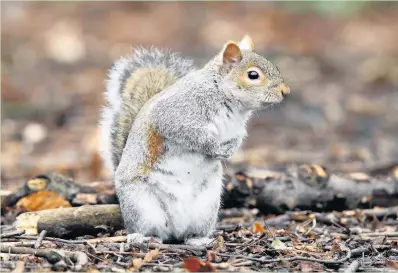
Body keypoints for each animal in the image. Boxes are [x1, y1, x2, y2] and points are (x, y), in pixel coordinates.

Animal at [98, 34, 288, 244]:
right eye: (253, 75)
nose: (285, 91)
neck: (231, 104)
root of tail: (175, 228)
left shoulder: (237, 130)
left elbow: (237, 139)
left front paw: (230, 150)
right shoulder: (176, 114)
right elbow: (191, 134)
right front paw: (213, 147)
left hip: (206, 208)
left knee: (189, 233)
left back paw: (198, 240)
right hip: (143, 207)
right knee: (150, 229)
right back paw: (143, 238)